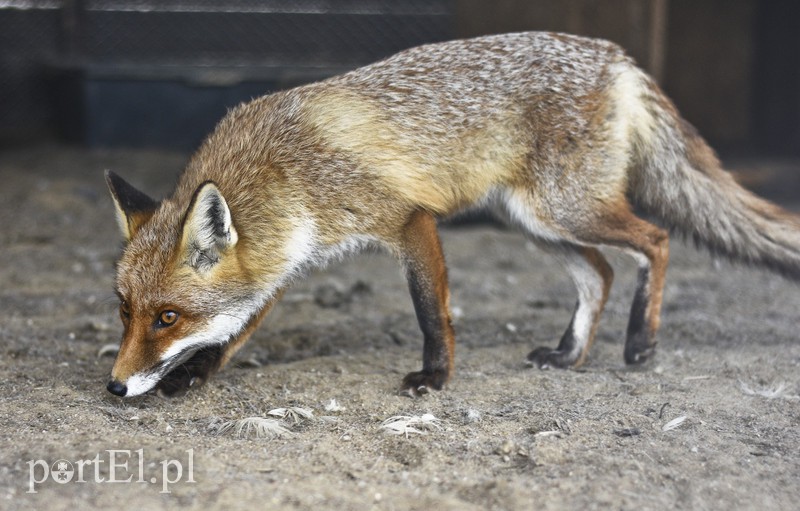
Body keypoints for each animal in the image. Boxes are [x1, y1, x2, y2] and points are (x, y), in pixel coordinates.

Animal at [104, 32, 800, 400]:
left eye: (167, 318)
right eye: (125, 312)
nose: (113, 387)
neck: (284, 169)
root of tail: (617, 54)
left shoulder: (409, 219)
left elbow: (430, 312)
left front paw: (435, 377)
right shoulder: (283, 259)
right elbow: (237, 329)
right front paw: (197, 373)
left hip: (564, 210)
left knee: (655, 239)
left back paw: (640, 342)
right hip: (533, 222)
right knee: (599, 273)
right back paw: (570, 355)